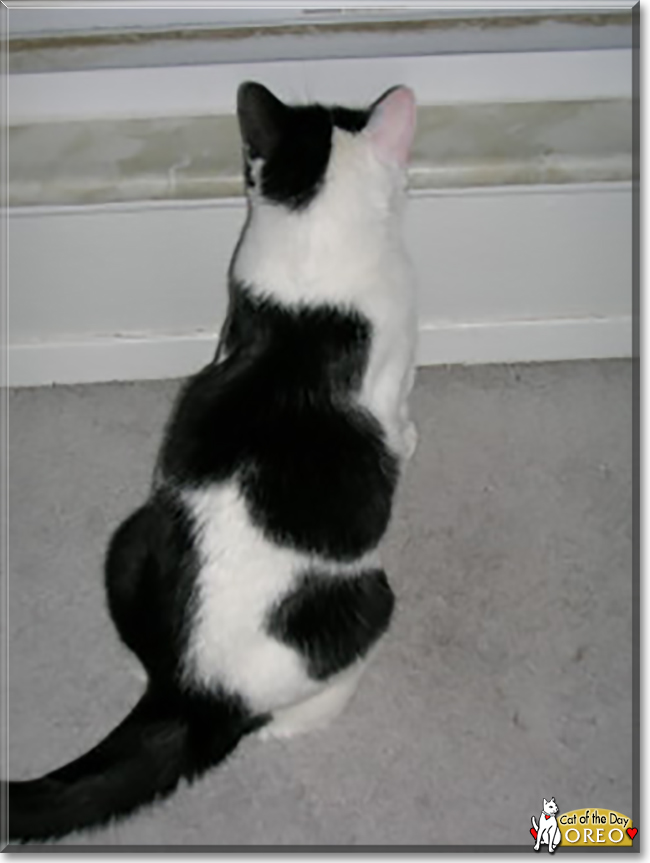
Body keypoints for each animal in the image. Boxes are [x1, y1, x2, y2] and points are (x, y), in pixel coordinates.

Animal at [5, 81, 418, 844]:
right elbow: (398, 411)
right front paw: (408, 438)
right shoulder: (397, 356)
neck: (311, 249)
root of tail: (193, 689)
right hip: (368, 599)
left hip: (130, 539)